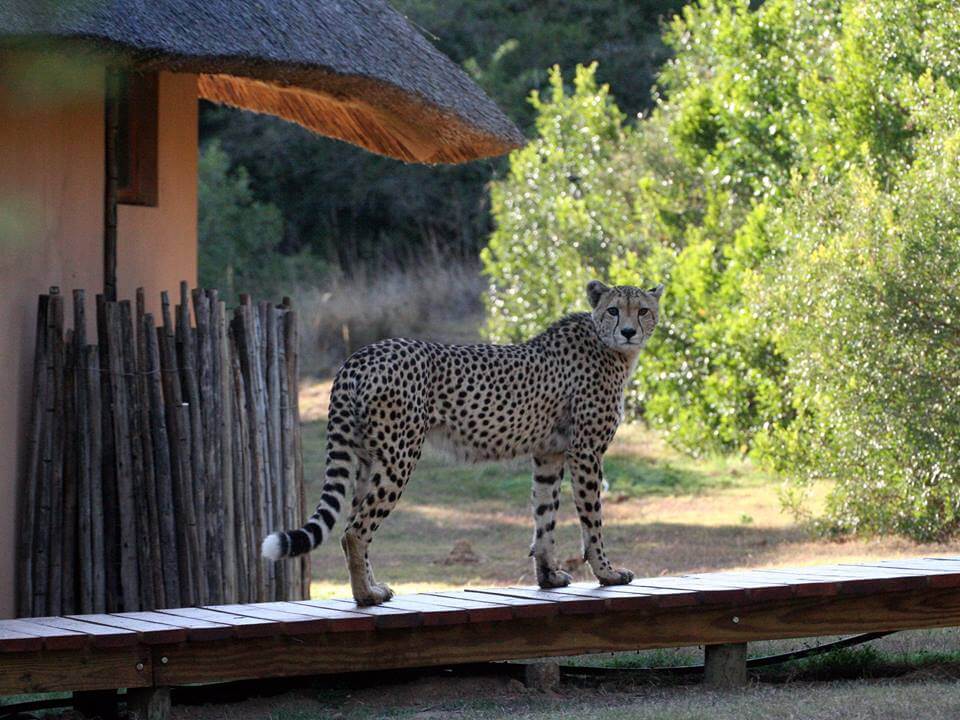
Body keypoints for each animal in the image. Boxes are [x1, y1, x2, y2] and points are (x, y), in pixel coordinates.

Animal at [266, 278, 664, 604]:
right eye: (613, 310)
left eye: (642, 310)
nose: (629, 331)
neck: (606, 344)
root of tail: (362, 354)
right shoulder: (586, 452)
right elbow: (592, 520)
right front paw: (607, 573)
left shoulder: (548, 454)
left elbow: (544, 516)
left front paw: (548, 577)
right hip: (399, 457)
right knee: (354, 531)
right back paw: (366, 596)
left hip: (368, 459)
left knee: (352, 525)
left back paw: (371, 588)